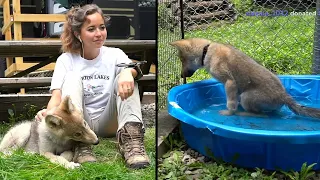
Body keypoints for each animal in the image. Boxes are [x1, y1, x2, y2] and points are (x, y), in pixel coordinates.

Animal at [170, 37, 320, 119]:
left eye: (182, 60)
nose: (181, 76)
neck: (206, 51)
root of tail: (284, 96)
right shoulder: (234, 87)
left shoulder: (229, 82)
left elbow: (231, 104)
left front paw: (229, 113)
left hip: (246, 97)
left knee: (262, 114)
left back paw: (243, 114)